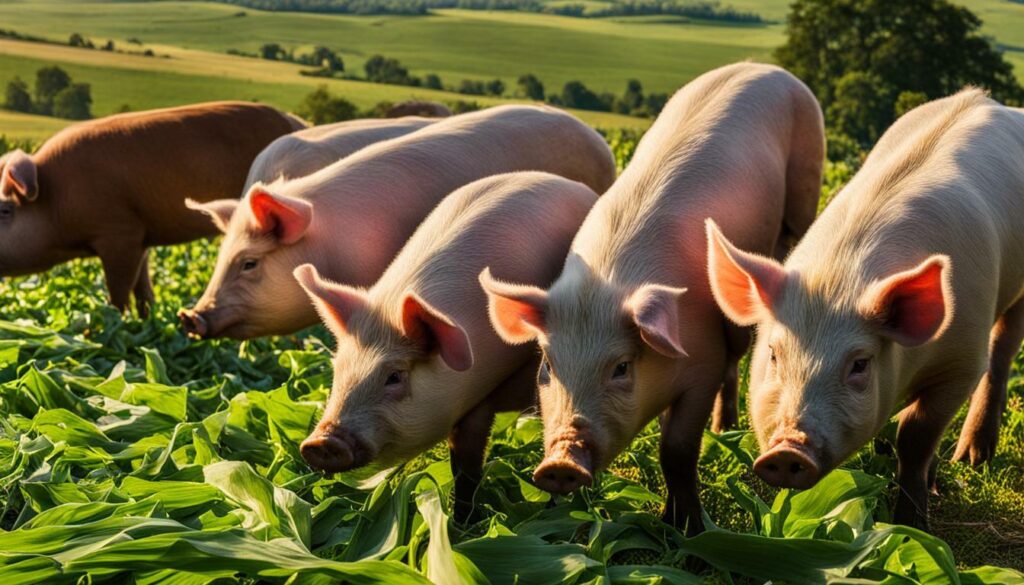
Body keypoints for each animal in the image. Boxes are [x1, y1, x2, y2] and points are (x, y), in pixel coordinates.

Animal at [0, 101, 303, 316]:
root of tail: (297, 121)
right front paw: (147, 321)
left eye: (5, 211)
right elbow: (143, 290)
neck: (56, 202)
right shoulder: (141, 237)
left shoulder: (120, 234)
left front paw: (116, 323)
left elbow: (119, 292)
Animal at [295, 172, 598, 522]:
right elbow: (462, 464)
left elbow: (471, 463)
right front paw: (461, 521)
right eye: (337, 369)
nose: (321, 443)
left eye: (394, 376)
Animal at [479, 63, 824, 534]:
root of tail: (763, 66)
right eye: (548, 365)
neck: (606, 285)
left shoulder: (703, 362)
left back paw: (724, 431)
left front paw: (686, 528)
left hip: (806, 180)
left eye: (621, 367)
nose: (560, 461)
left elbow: (676, 449)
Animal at [705, 89, 1024, 530]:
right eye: (773, 355)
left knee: (1004, 349)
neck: (839, 280)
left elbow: (915, 434)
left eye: (859, 364)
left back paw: (972, 458)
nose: (787, 451)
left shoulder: (962, 361)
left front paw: (912, 525)